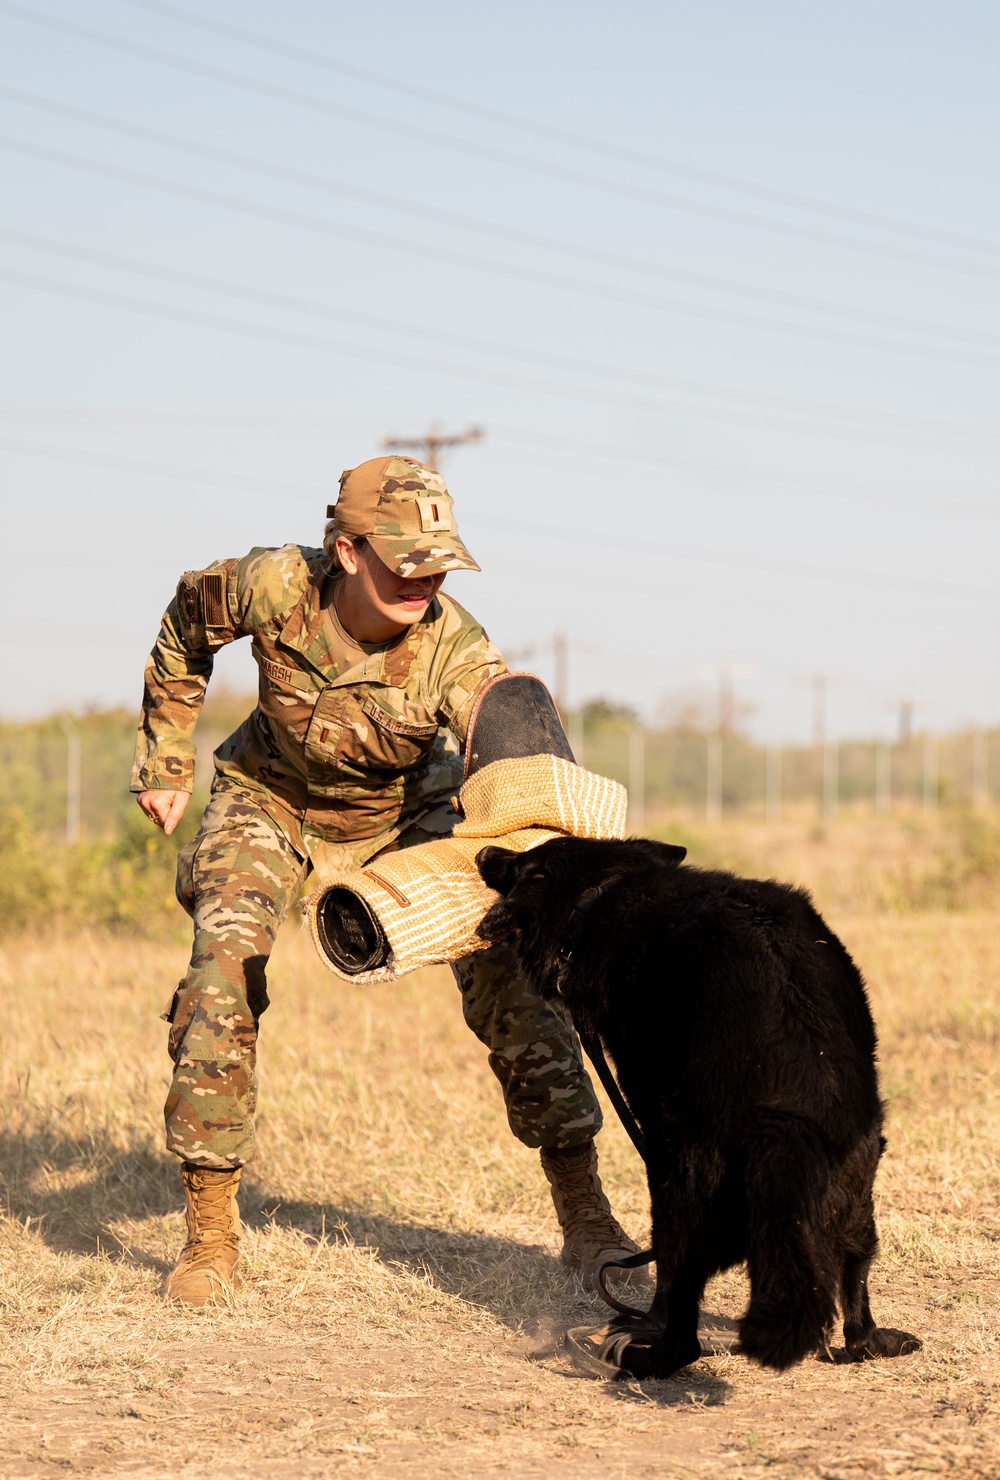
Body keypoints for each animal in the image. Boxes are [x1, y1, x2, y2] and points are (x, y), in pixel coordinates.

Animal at [476, 840, 923, 1379]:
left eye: (521, 860)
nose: (482, 850)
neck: (606, 888)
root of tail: (786, 1119)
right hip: (858, 1201)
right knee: (856, 1300)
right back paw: (875, 1341)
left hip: (680, 1186)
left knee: (679, 1317)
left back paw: (640, 1353)